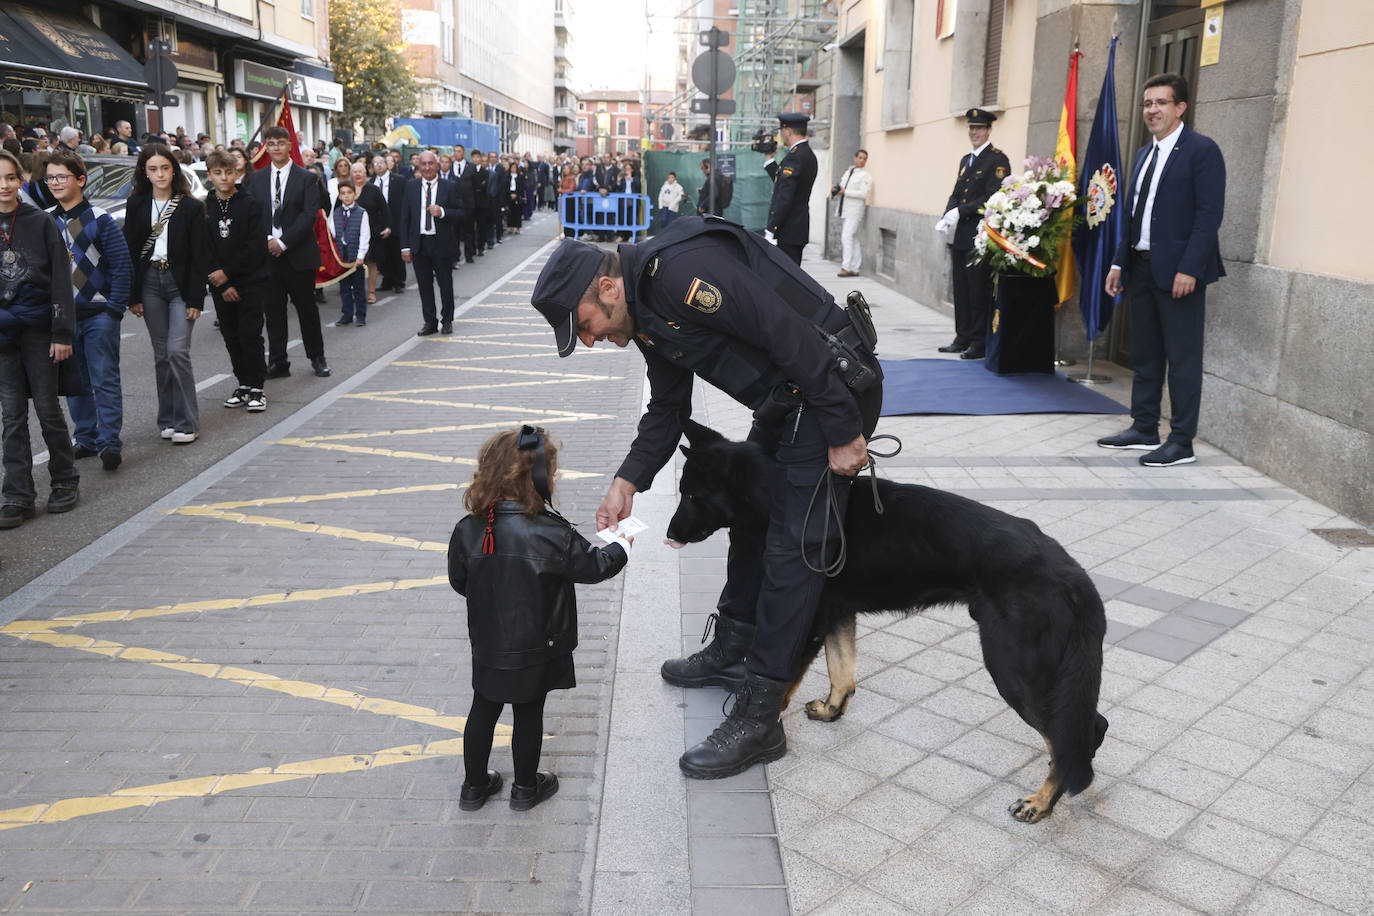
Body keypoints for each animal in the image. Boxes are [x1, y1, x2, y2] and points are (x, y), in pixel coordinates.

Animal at [670, 422, 1110, 823]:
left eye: (691, 495)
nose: (669, 534)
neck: (778, 500)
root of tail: (1074, 574)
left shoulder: (806, 621)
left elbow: (782, 683)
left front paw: (753, 733)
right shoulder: (837, 615)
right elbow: (842, 671)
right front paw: (832, 711)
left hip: (1013, 668)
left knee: (1071, 735)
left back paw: (1042, 801)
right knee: (1088, 730)